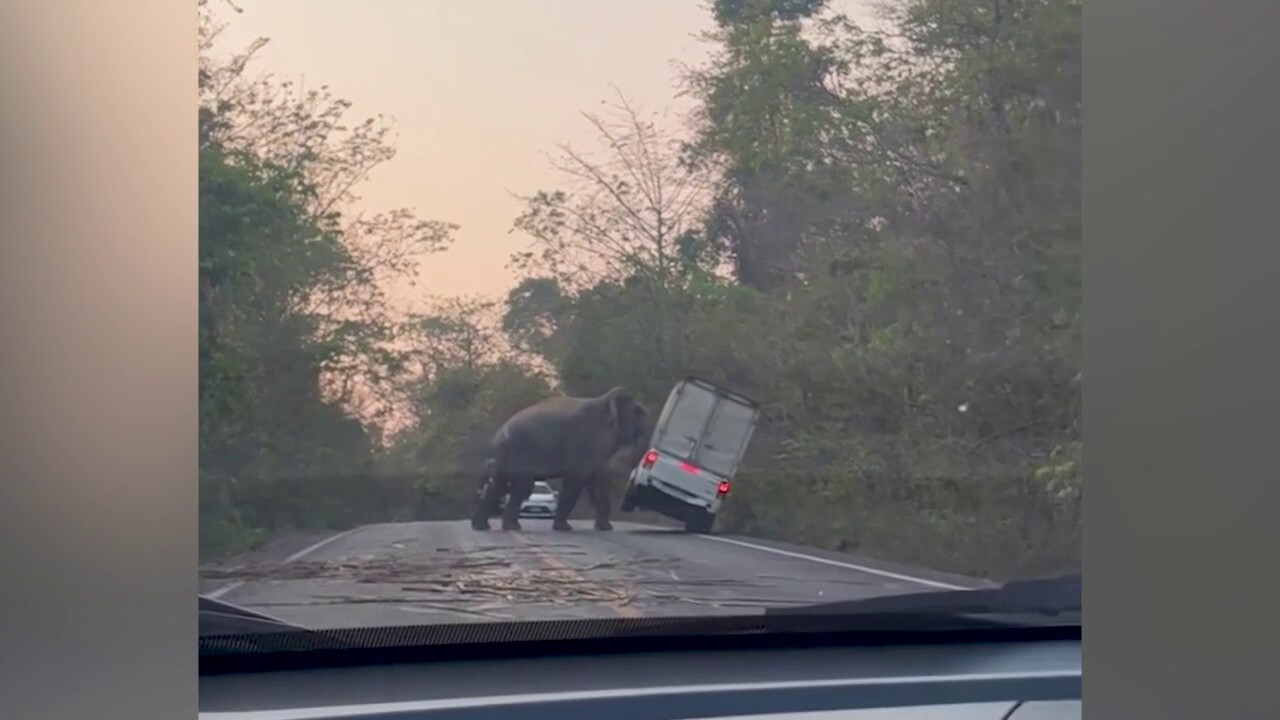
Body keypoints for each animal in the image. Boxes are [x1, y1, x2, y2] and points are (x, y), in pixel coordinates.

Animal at [468, 386, 650, 532]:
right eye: (638, 411)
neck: (604, 400)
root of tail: (499, 434)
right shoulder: (580, 443)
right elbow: (575, 482)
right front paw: (564, 528)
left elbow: (596, 482)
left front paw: (605, 528)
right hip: (519, 452)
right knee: (520, 486)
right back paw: (510, 527)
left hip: (507, 454)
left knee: (501, 485)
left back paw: (484, 527)